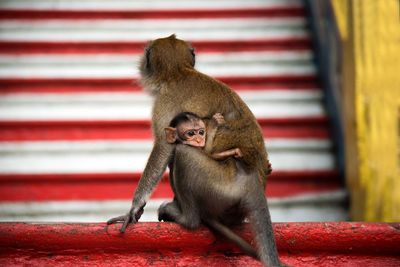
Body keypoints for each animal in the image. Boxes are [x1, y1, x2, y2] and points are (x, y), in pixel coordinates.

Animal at [107, 34, 282, 266]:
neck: (180, 71)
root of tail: (252, 179)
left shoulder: (164, 103)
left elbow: (164, 147)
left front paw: (134, 208)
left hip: (222, 186)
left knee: (182, 153)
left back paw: (187, 218)